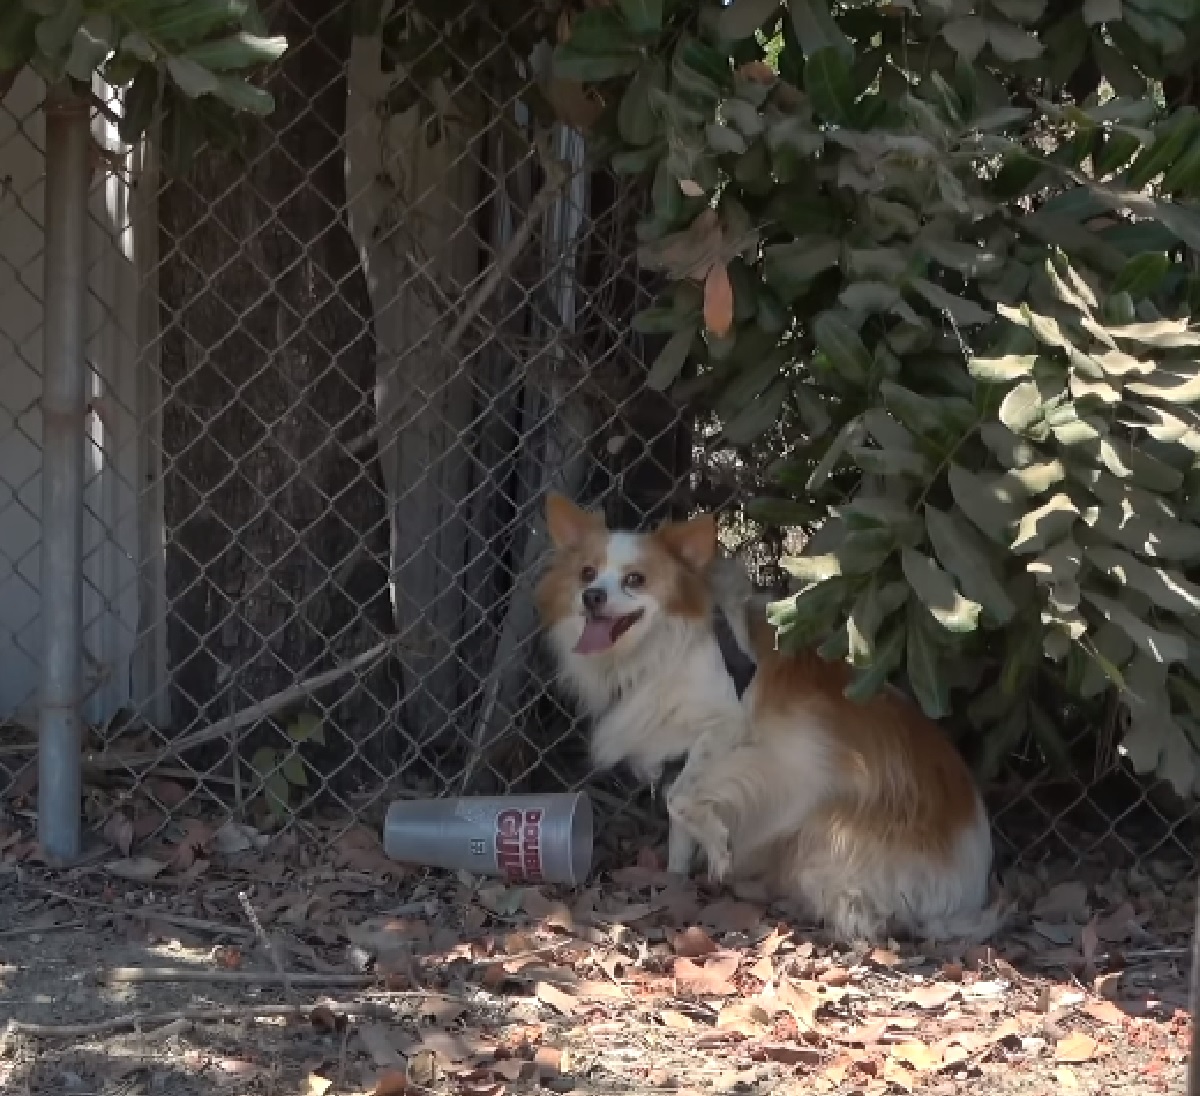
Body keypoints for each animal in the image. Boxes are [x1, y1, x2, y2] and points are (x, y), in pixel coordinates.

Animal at [537, 492, 748, 878]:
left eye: (635, 579)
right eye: (586, 573)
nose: (592, 595)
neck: (647, 661)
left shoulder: (728, 724)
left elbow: (678, 798)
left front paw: (718, 848)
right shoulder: (670, 754)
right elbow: (678, 823)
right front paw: (677, 878)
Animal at [676, 557, 1003, 941]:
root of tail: (961, 905)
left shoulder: (788, 768)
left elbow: (687, 798)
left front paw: (715, 847)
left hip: (829, 836)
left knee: (861, 915)